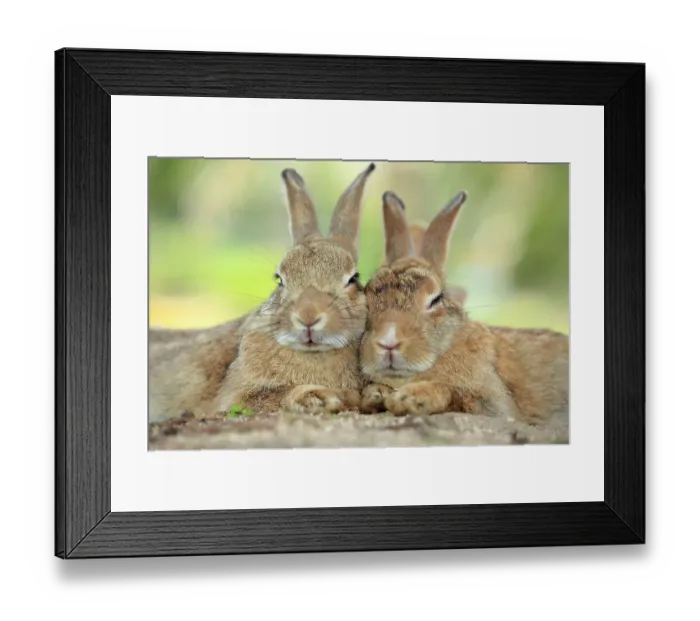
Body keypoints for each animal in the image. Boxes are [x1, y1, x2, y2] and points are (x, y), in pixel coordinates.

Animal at [359, 190, 569, 424]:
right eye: (366, 298)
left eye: (436, 299)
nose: (388, 342)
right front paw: (376, 394)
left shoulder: (492, 401)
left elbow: (453, 392)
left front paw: (411, 398)